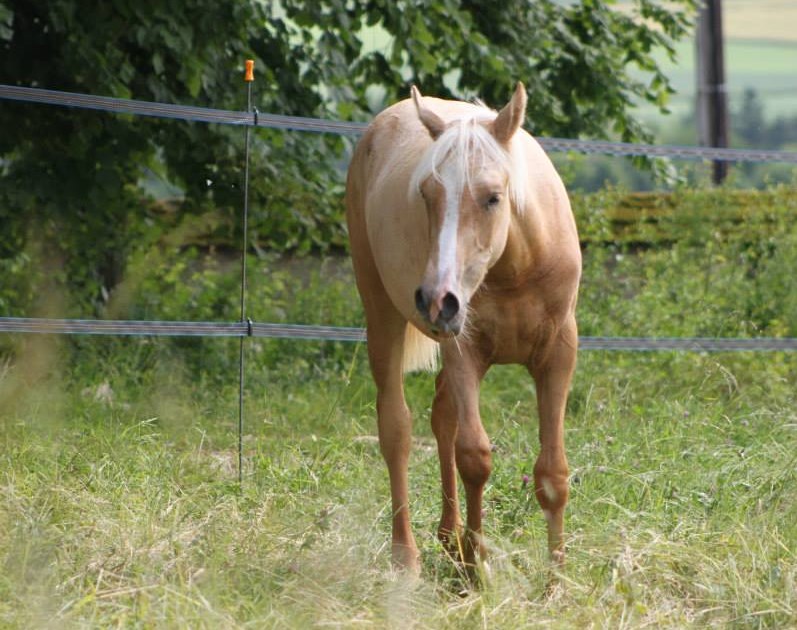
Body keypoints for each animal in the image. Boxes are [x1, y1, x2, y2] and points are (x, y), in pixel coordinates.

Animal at [342, 82, 580, 572]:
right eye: (427, 195)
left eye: (492, 197)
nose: (436, 299)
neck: (515, 268)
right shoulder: (463, 351)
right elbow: (474, 458)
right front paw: (478, 570)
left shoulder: (558, 356)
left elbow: (552, 475)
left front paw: (555, 578)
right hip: (382, 316)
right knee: (397, 428)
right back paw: (408, 558)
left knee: (441, 418)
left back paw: (449, 540)